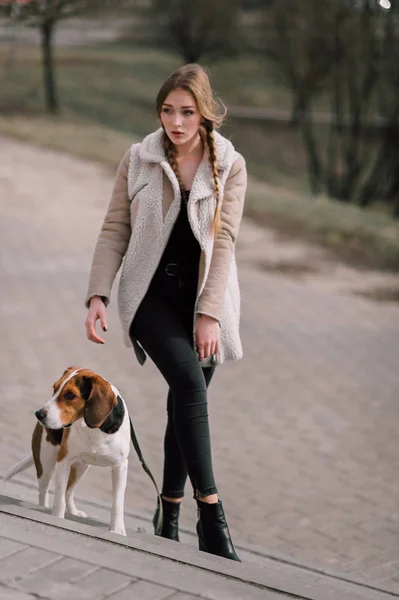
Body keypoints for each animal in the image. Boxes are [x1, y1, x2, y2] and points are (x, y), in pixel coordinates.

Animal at [3, 368, 131, 536]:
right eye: (54, 388)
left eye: (70, 395)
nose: (38, 414)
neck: (94, 429)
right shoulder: (63, 460)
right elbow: (59, 497)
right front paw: (57, 519)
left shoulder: (120, 467)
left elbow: (117, 503)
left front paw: (116, 530)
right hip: (46, 464)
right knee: (44, 492)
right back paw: (44, 506)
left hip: (81, 466)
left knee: (69, 491)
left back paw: (73, 512)